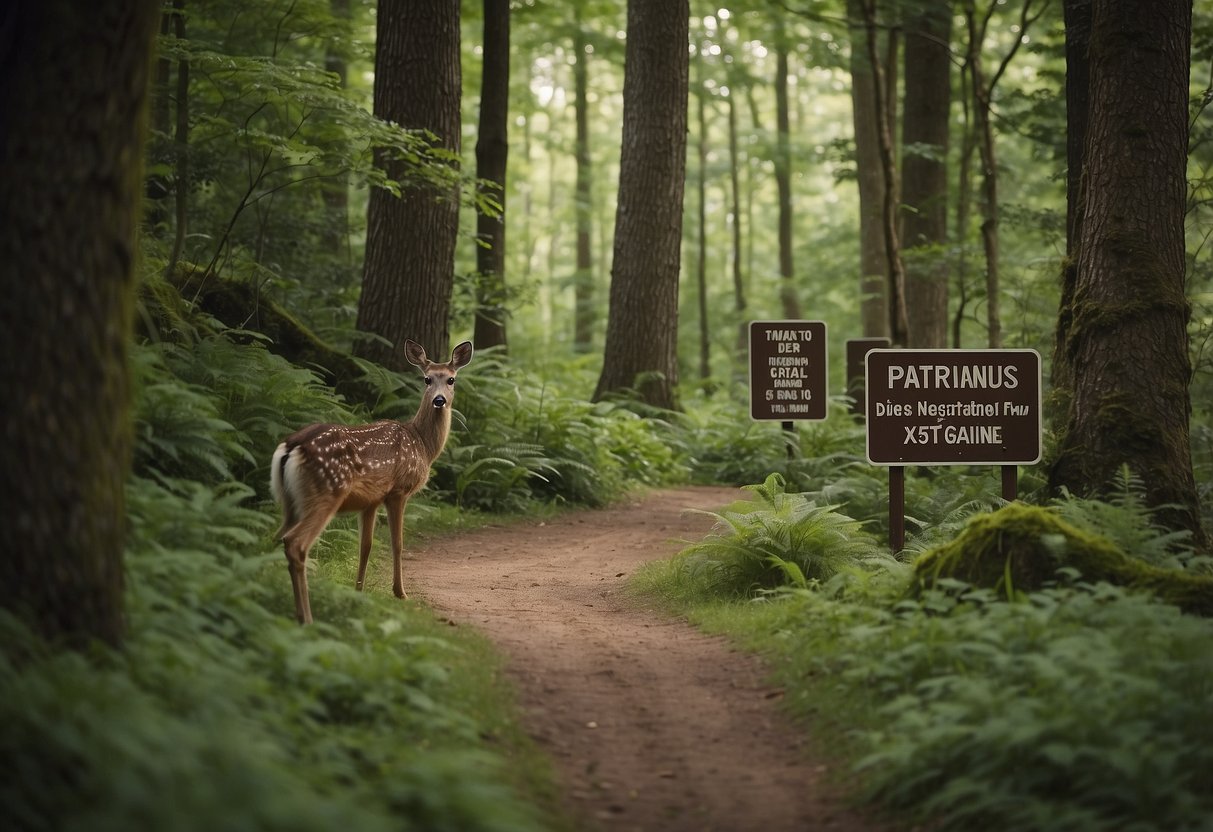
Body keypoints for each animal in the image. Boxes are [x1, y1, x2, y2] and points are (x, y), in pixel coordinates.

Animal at [270, 339, 473, 625]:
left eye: (451, 379)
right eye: (427, 379)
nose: (439, 400)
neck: (421, 443)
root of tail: (291, 447)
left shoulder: (370, 501)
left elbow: (365, 546)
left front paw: (358, 591)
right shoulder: (398, 491)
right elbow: (397, 543)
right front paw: (400, 593)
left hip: (289, 501)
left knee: (275, 537)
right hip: (325, 493)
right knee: (295, 543)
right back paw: (306, 617)